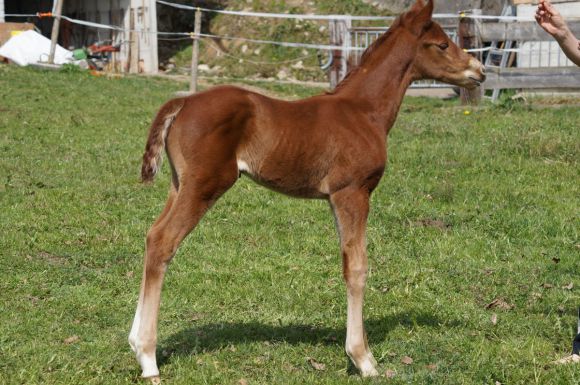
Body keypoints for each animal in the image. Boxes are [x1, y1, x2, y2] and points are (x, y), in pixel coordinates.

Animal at [130, 0, 484, 378]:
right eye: (443, 44)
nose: (479, 70)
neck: (363, 112)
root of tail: (182, 102)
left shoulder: (334, 198)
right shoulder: (352, 192)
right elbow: (357, 267)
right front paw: (363, 359)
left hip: (179, 184)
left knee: (152, 236)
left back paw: (136, 344)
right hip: (204, 185)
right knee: (164, 240)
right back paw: (149, 359)